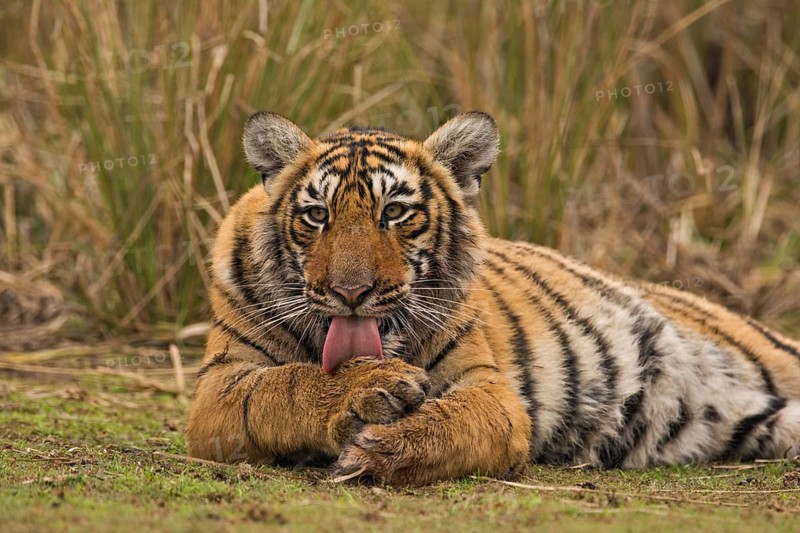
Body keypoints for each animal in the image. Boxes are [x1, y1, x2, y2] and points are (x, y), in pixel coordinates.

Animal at [185, 111, 800, 486]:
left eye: (395, 212)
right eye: (317, 216)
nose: (351, 292)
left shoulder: (490, 390)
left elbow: (455, 421)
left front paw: (381, 448)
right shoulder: (218, 390)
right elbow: (285, 386)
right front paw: (366, 388)